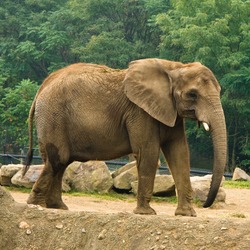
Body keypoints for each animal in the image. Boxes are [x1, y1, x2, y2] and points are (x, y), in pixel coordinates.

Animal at [23, 57, 227, 216]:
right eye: (192, 95)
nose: (205, 205)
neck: (175, 67)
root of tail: (42, 87)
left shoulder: (171, 111)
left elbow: (180, 154)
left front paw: (187, 214)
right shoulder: (140, 112)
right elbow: (148, 153)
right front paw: (146, 213)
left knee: (60, 163)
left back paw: (57, 207)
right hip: (53, 117)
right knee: (57, 160)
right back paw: (36, 205)